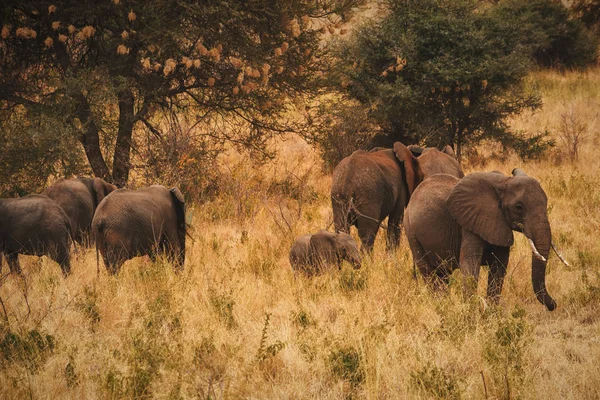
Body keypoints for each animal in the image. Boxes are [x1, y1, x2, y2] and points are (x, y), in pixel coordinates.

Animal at [330, 142, 462, 252]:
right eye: (420, 177)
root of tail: (348, 180)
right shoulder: (400, 187)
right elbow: (395, 221)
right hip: (368, 195)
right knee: (367, 233)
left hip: (338, 197)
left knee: (342, 230)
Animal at [404, 167, 568, 310]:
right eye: (519, 207)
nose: (554, 304)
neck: (503, 182)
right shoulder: (469, 223)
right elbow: (470, 265)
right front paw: (471, 312)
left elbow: (499, 267)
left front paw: (491, 312)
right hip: (411, 230)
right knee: (427, 270)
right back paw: (440, 305)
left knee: (442, 273)